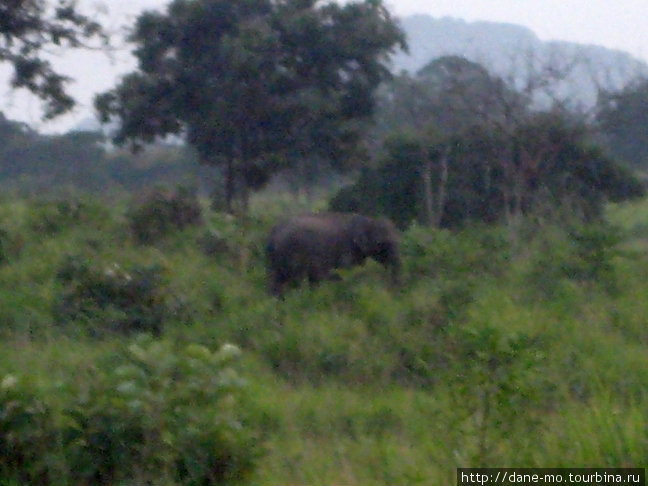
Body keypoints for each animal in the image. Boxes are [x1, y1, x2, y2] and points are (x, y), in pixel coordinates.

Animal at [264, 213, 400, 296]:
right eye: (382, 243)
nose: (392, 291)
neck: (368, 220)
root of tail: (272, 234)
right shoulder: (346, 248)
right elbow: (346, 270)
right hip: (293, 252)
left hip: (274, 260)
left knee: (275, 281)